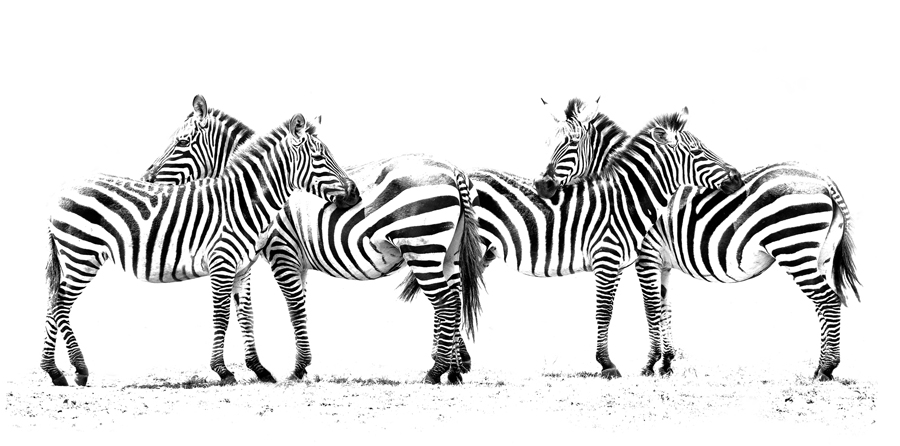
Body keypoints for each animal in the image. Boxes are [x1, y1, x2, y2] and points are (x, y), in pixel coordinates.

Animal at [42, 107, 360, 386]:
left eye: (181, 141)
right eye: (319, 157)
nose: (355, 194)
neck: (242, 203)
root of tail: (61, 190)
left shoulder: (242, 267)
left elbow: (245, 314)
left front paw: (258, 369)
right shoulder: (223, 262)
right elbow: (222, 315)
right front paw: (223, 371)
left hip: (73, 258)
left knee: (52, 302)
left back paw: (54, 372)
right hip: (82, 255)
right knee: (60, 305)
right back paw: (79, 370)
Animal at [140, 95, 484, 384]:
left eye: (181, 142)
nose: (146, 179)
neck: (255, 192)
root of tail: (453, 170)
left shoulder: (282, 252)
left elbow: (292, 309)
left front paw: (296, 369)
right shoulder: (273, 257)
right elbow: (261, 308)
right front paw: (270, 368)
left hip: (421, 245)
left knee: (445, 302)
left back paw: (435, 371)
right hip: (448, 251)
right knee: (454, 300)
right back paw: (453, 370)